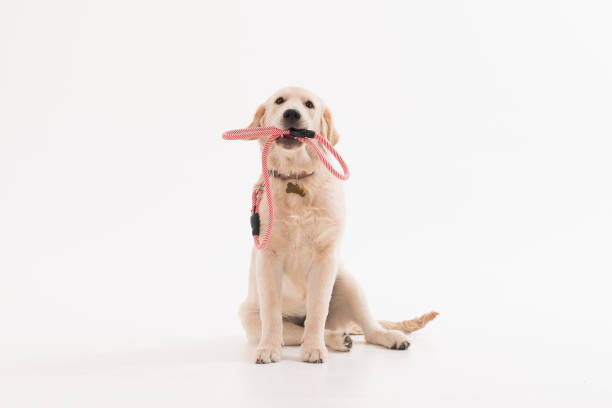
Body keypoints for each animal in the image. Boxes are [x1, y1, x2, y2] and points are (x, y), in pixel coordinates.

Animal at [237, 87, 438, 364]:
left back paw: (387, 337)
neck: (296, 178)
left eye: (309, 104)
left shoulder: (326, 256)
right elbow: (271, 312)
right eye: (279, 101)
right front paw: (268, 348)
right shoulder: (267, 258)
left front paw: (314, 348)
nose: (291, 114)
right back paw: (338, 339)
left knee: (366, 327)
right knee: (301, 329)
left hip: (347, 281)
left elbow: (318, 309)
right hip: (248, 315)